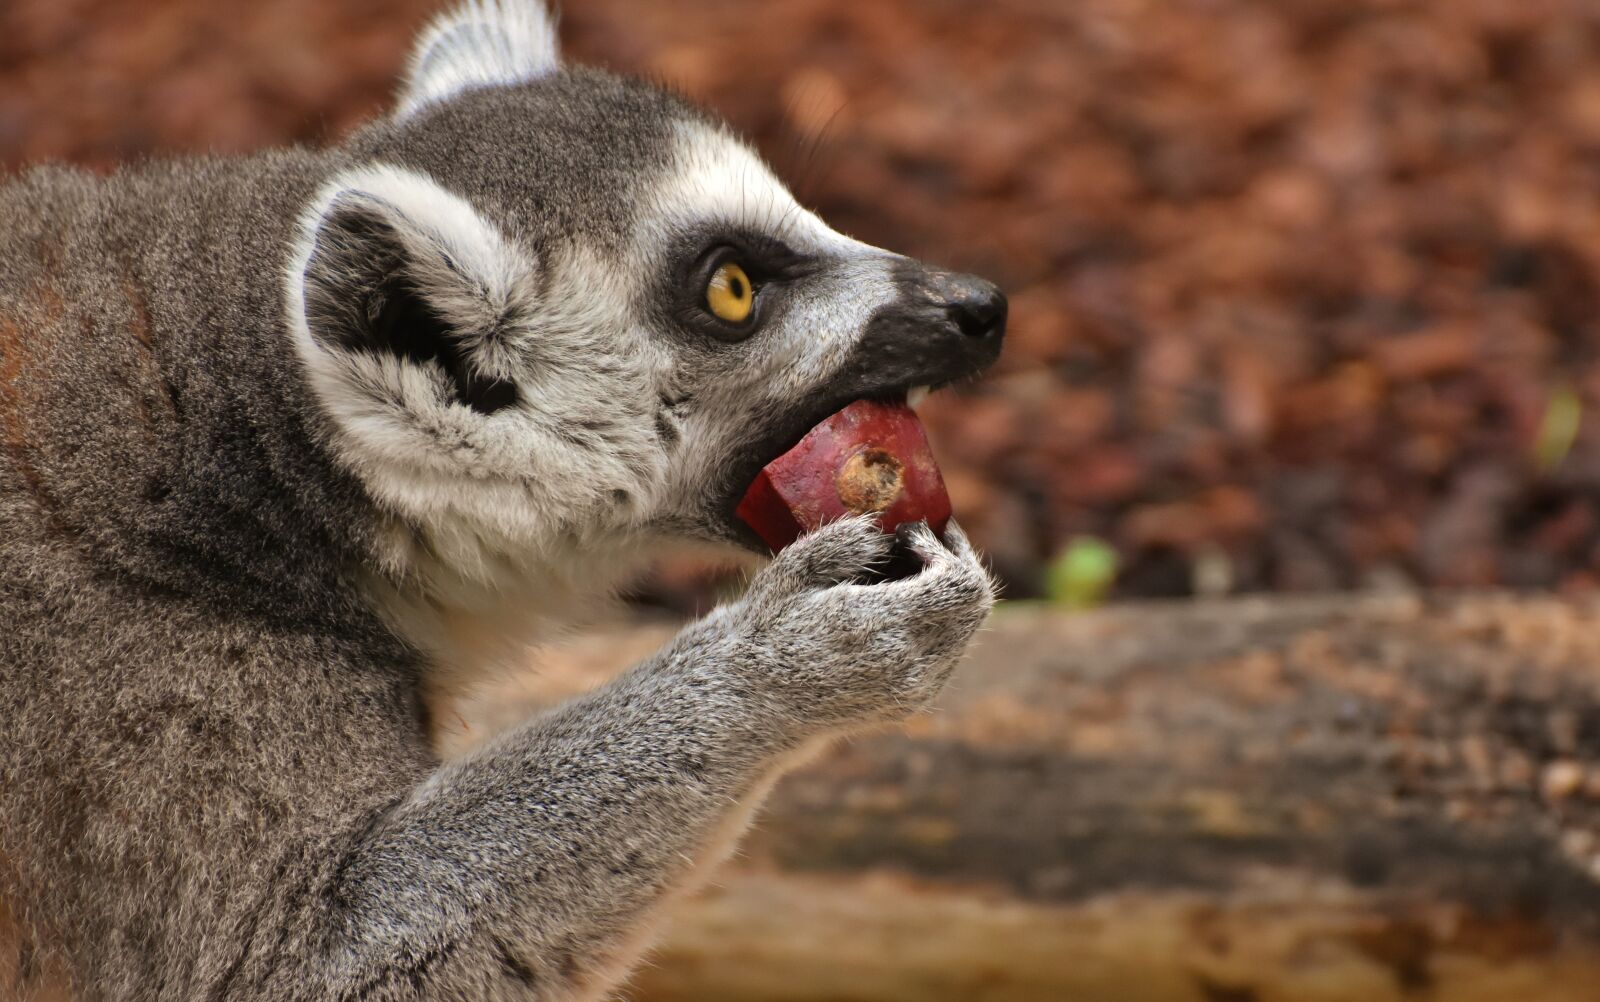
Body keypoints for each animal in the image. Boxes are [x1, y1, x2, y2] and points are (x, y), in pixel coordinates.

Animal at [0, 2, 1007, 998]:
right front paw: (789, 660)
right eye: (731, 288)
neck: (241, 464)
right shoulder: (147, 700)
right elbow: (290, 962)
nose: (981, 305)